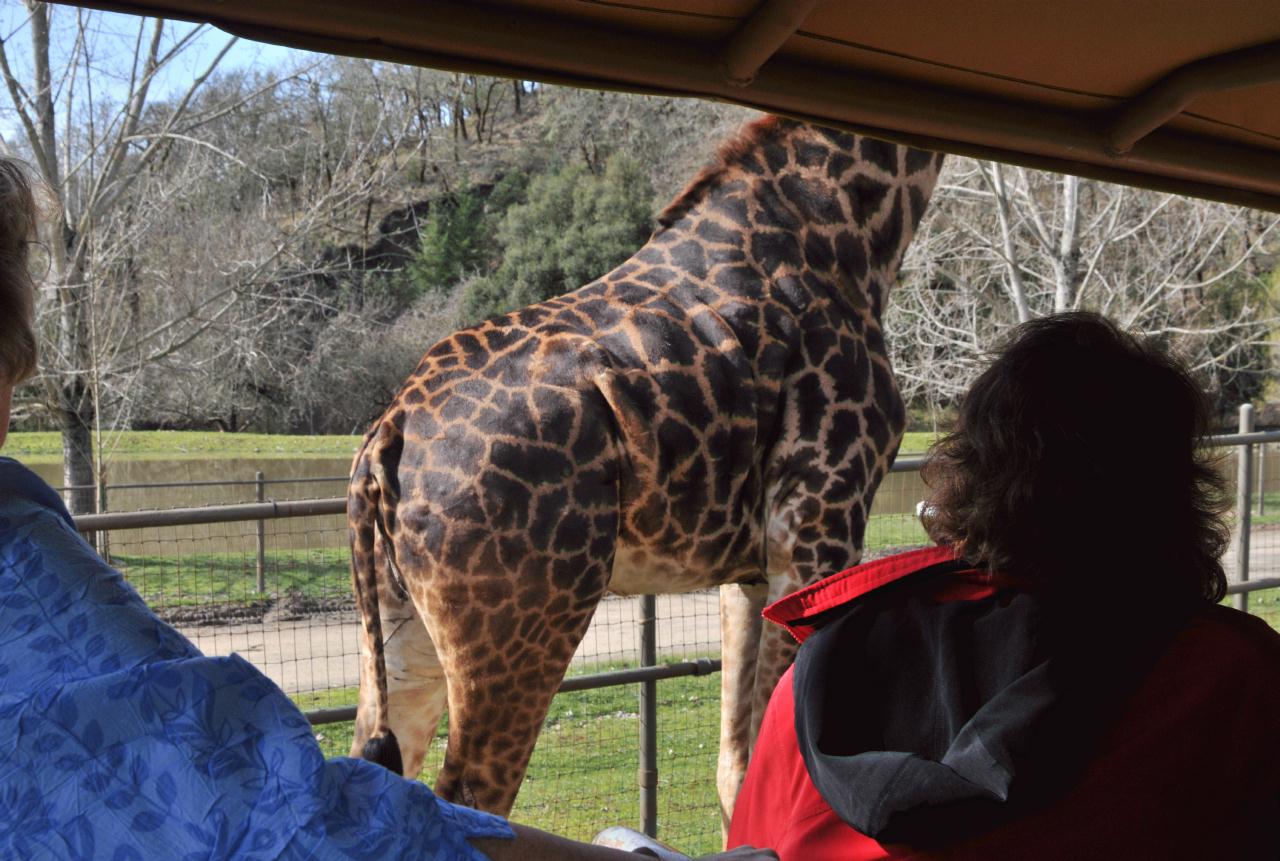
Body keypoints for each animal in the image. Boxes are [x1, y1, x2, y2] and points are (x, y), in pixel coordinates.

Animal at [348, 113, 942, 818]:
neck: (849, 231)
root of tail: (386, 437)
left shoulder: (750, 568)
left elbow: (737, 771)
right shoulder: (820, 524)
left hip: (400, 630)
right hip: (522, 632)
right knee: (472, 795)